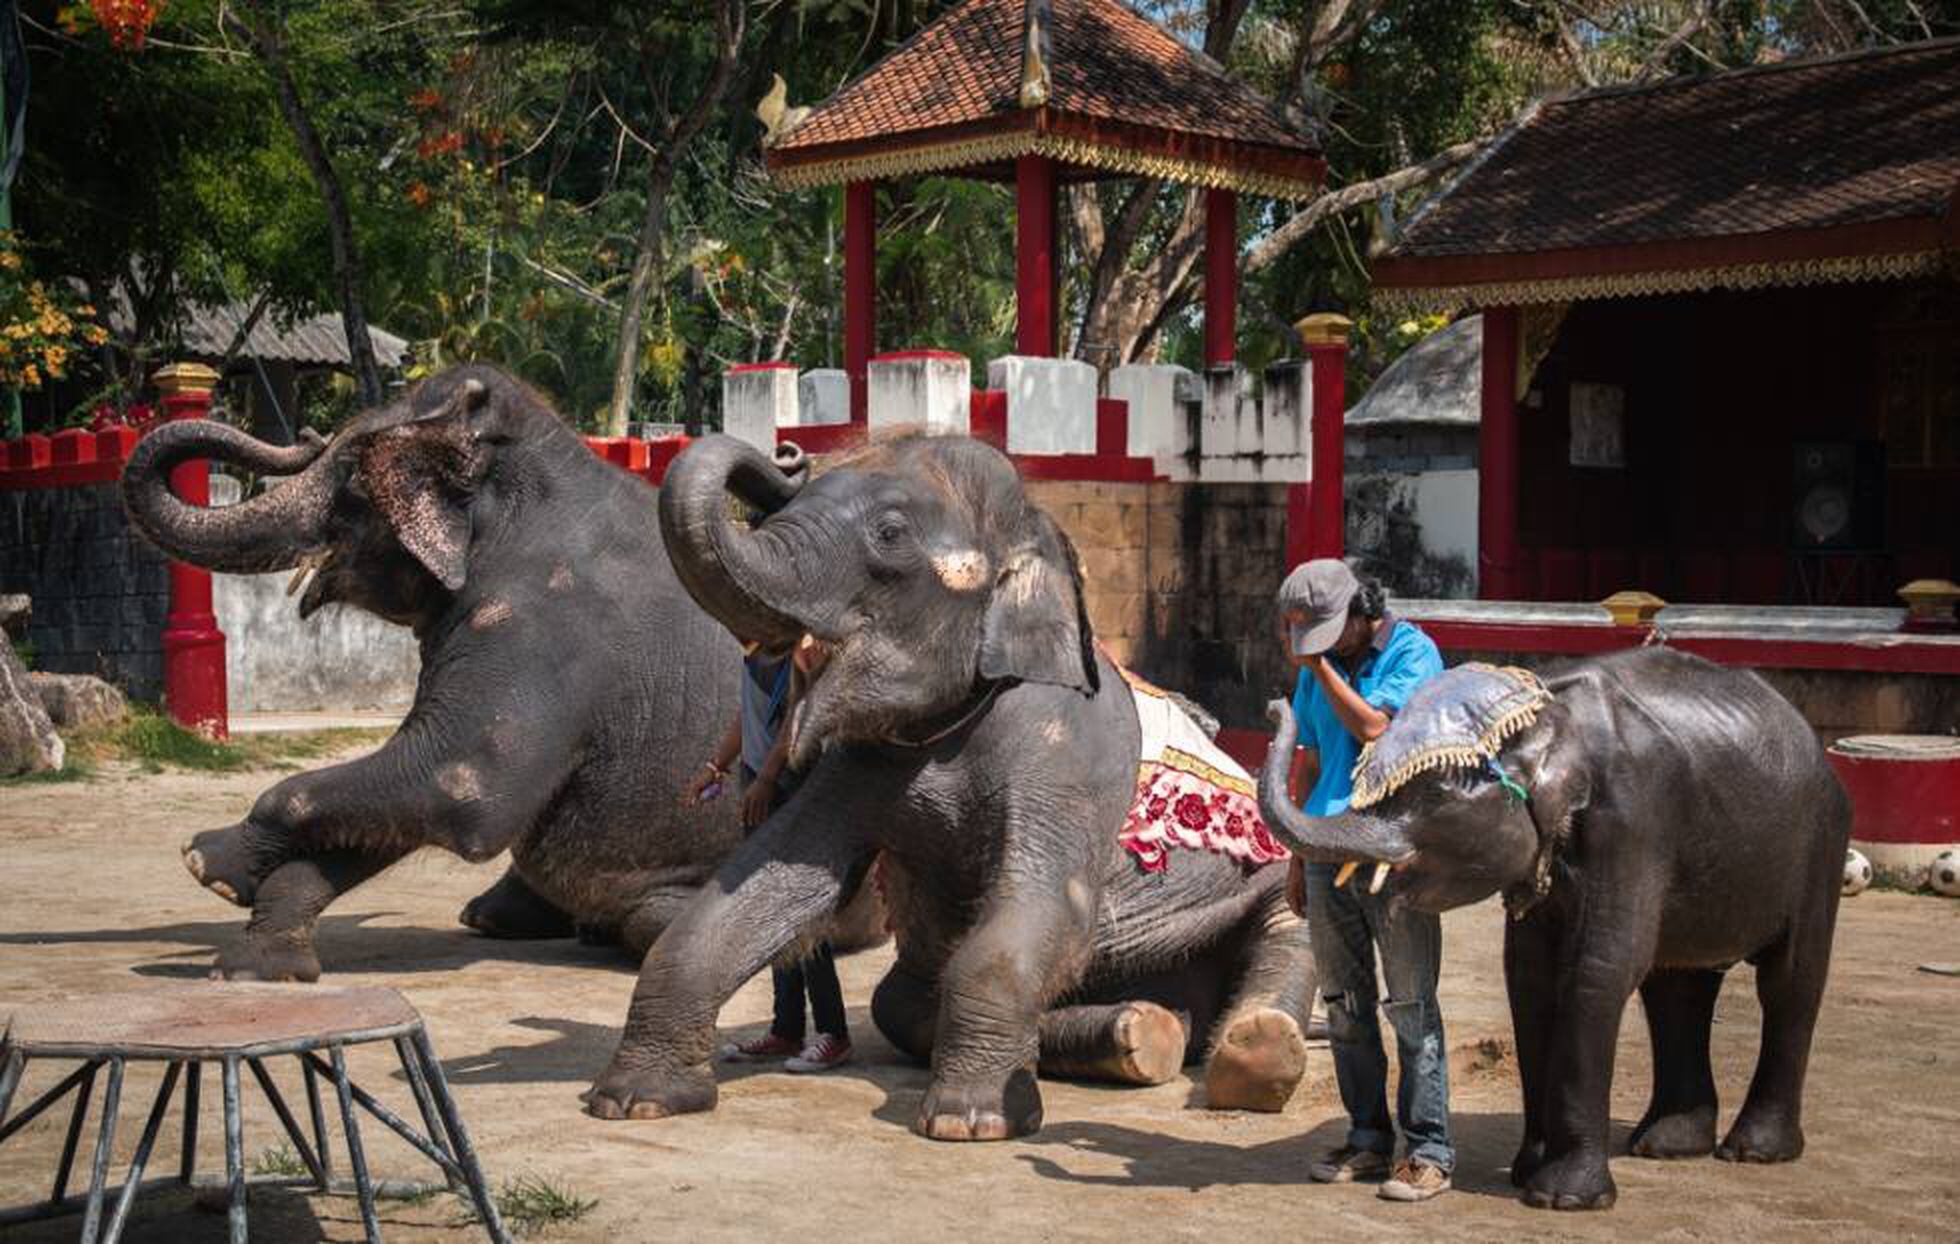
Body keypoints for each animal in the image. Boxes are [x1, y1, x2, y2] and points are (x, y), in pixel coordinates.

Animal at [118, 360, 878, 983]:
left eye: (354, 475)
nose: (302, 434)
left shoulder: (540, 628)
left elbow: (457, 783)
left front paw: (205, 861)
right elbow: (407, 799)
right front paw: (257, 965)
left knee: (650, 921)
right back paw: (504, 918)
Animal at [580, 432, 1317, 1144]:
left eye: (890, 533)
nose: (786, 454)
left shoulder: (1067, 754)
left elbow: (1045, 904)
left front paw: (971, 1122)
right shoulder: (858, 764)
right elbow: (769, 882)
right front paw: (633, 1100)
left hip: (1264, 887)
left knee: (1288, 934)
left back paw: (1253, 1054)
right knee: (901, 1003)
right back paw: (1140, 1031)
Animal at [1254, 646, 1850, 1214]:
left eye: (1433, 796)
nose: (1274, 703)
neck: (1546, 723)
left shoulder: (1634, 824)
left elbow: (1598, 972)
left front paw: (1561, 1197)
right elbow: (1528, 978)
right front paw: (1526, 1172)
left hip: (1822, 843)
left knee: (1789, 982)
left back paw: (1754, 1151)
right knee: (1678, 985)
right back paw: (1666, 1145)